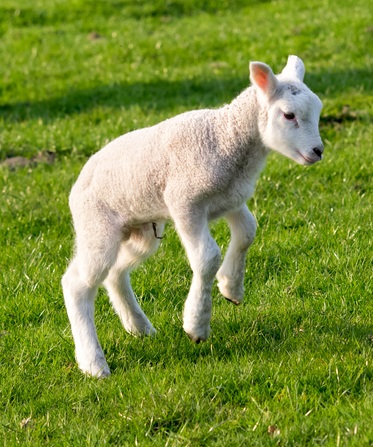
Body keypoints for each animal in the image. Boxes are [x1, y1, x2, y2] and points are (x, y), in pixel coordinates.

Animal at [61, 56, 322, 378]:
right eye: (288, 115)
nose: (317, 151)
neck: (226, 137)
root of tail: (77, 184)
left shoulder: (231, 198)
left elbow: (248, 231)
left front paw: (231, 287)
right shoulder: (185, 202)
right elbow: (207, 257)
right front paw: (196, 324)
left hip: (141, 231)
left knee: (115, 273)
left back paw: (140, 328)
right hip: (97, 225)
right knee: (77, 283)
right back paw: (93, 363)